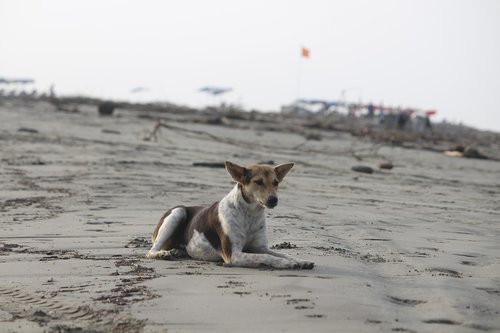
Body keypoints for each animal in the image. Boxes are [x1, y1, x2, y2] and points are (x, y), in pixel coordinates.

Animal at [146, 161, 314, 270]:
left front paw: (300, 261)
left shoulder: (260, 247)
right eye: (258, 182)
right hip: (177, 212)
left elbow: (282, 254)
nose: (273, 200)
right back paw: (163, 254)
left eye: (276, 182)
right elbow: (267, 257)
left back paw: (176, 251)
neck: (250, 214)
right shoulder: (233, 255)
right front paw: (287, 264)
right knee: (151, 251)